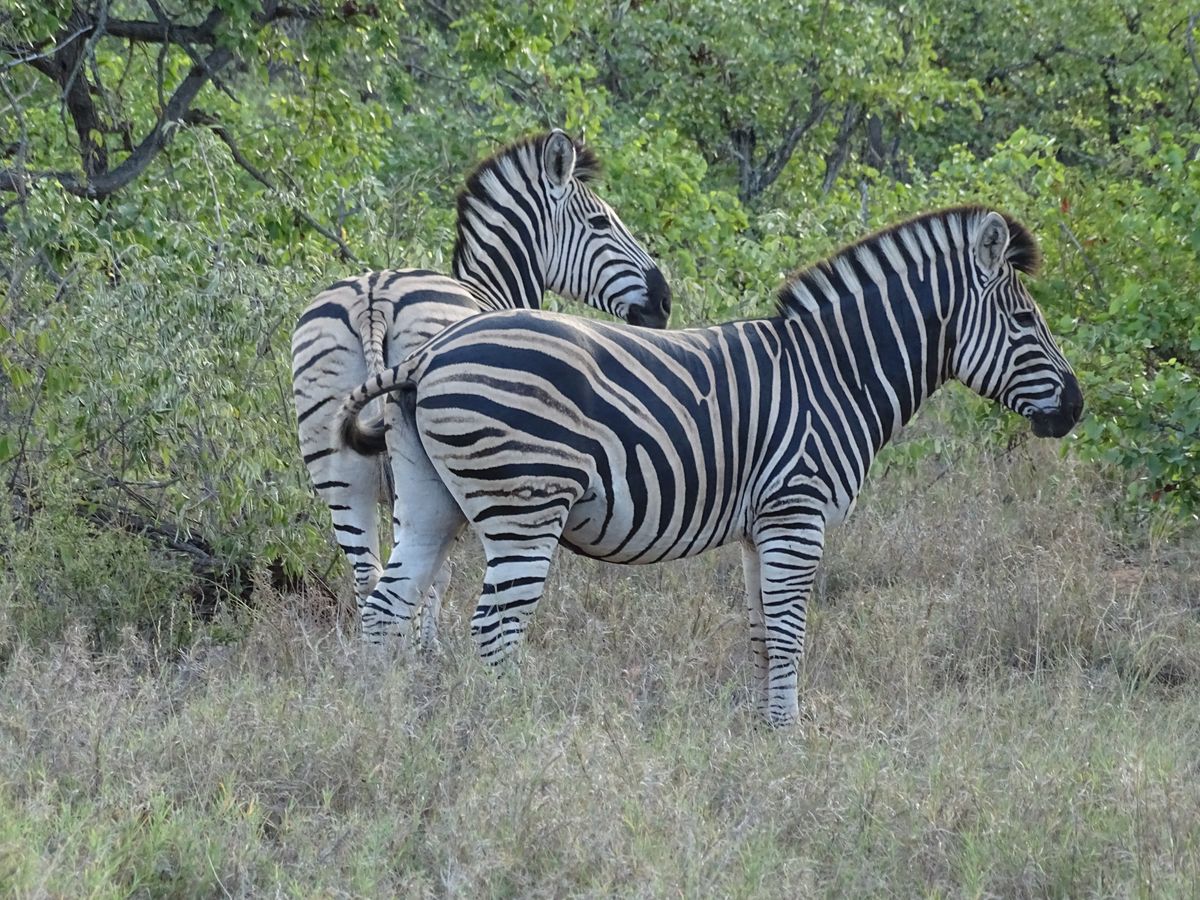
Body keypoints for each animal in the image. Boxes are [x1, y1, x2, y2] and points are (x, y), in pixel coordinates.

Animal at [292, 130, 671, 641]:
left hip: (334, 461)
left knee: (367, 572)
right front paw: (428, 645)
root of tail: (375, 296)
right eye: (599, 221)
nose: (664, 302)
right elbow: (443, 574)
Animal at [336, 206, 1083, 725]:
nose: (1075, 407)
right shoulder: (797, 512)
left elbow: (762, 635)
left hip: (432, 501)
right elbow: (789, 635)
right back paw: (513, 729)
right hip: (524, 506)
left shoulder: (763, 526)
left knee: (385, 609)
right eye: (1025, 321)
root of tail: (430, 353)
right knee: (494, 627)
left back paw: (380, 720)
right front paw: (789, 736)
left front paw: (762, 731)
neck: (837, 375)